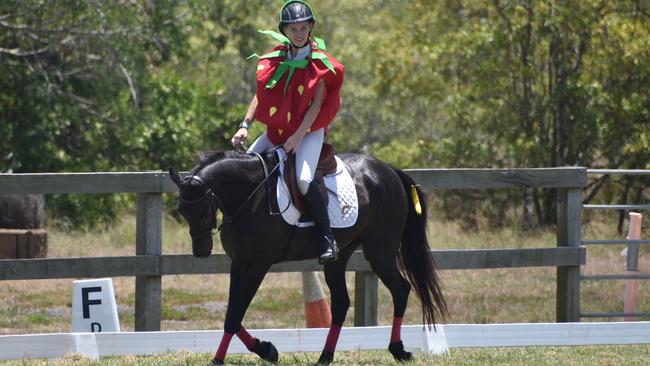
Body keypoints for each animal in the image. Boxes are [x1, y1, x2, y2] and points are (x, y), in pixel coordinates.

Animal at [168, 150, 446, 364]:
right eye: (182, 210)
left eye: (201, 208)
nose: (201, 251)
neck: (250, 195)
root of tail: (388, 170)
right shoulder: (238, 264)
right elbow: (231, 315)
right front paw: (266, 350)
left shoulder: (257, 265)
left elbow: (234, 315)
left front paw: (219, 358)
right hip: (340, 256)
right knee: (341, 302)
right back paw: (325, 356)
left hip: (380, 252)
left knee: (401, 289)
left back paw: (398, 350)